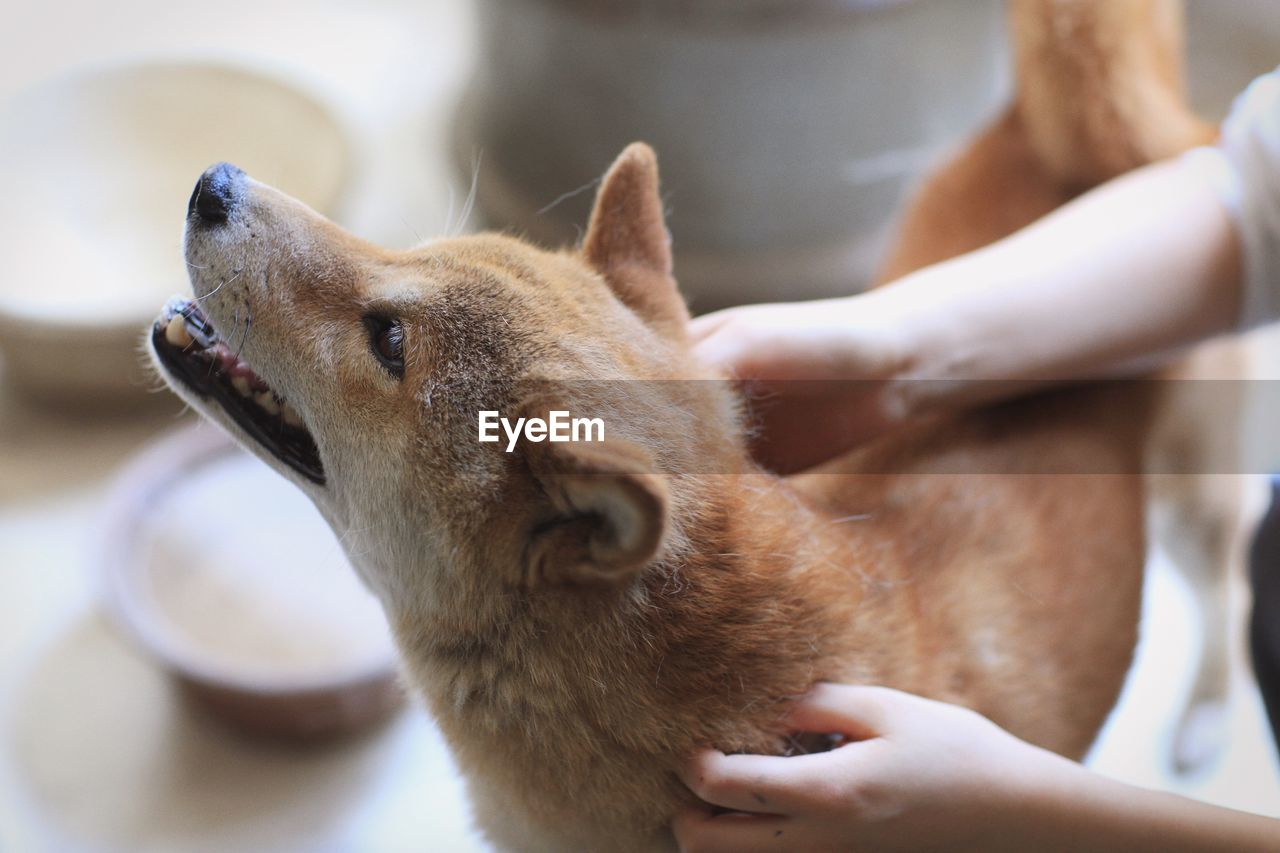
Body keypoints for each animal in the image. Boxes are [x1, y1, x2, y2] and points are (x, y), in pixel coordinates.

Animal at [149, 0, 1239, 845]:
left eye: (386, 339)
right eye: (409, 253)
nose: (213, 183)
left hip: (1193, 503)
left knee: (1224, 588)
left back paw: (1209, 713)